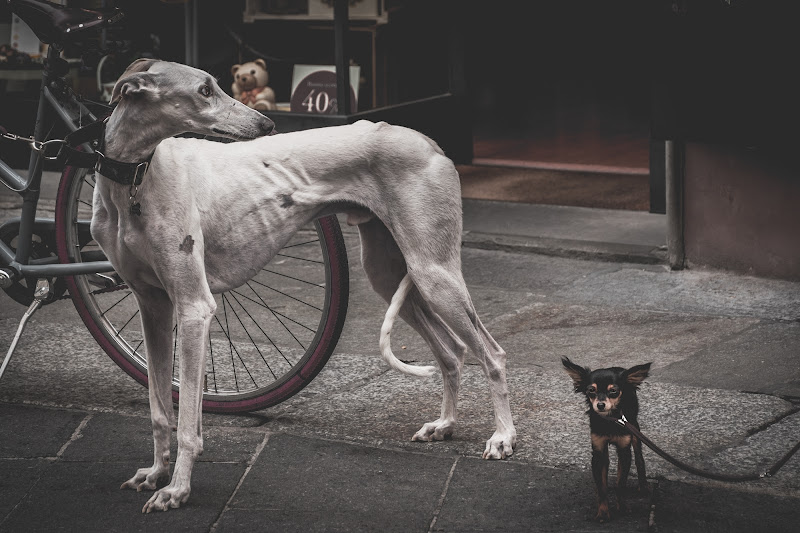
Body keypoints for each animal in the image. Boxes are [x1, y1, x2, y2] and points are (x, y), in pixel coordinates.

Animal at [564, 356, 648, 520]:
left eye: (613, 391)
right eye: (591, 390)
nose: (601, 405)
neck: (610, 420)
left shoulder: (624, 449)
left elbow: (620, 483)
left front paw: (622, 506)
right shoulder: (598, 449)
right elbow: (601, 484)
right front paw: (603, 511)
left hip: (635, 430)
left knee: (639, 459)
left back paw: (643, 486)